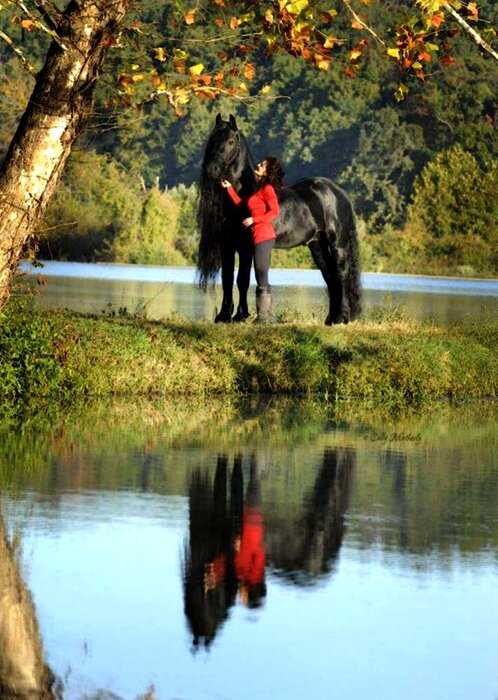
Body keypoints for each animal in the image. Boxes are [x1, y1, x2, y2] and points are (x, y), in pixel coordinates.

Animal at [197, 114, 362, 326]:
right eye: (212, 139)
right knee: (330, 276)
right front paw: (224, 316)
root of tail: (338, 192)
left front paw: (240, 315)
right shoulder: (227, 246)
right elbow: (227, 279)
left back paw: (341, 317)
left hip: (337, 245)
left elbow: (242, 279)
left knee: (341, 274)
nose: (212, 169)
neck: (243, 195)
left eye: (231, 141)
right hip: (317, 245)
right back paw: (330, 318)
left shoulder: (246, 247)